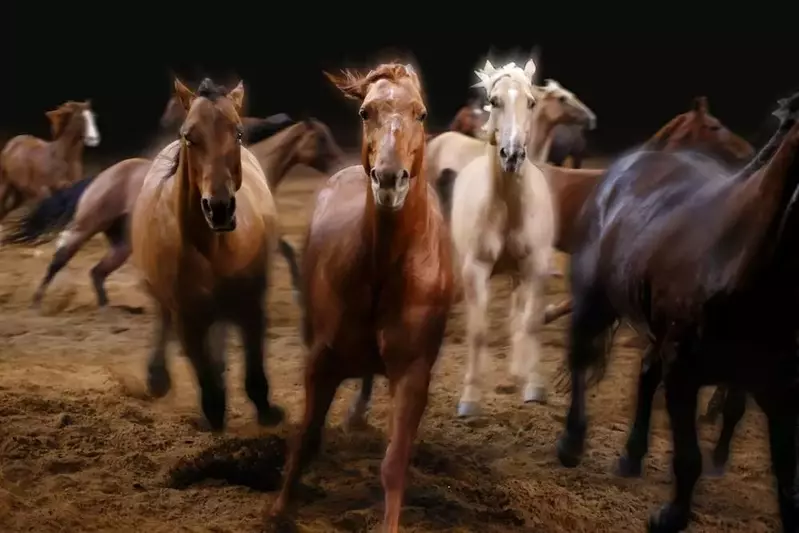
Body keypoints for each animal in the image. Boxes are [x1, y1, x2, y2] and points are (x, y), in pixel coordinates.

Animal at [130, 77, 285, 431]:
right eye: (189, 136)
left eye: (238, 133)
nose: (219, 208)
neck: (214, 249)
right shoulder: (187, 317)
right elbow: (205, 378)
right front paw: (213, 412)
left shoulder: (251, 306)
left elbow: (255, 367)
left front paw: (266, 410)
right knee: (164, 318)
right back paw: (158, 377)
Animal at [268, 63, 453, 533]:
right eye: (366, 111)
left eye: (421, 113)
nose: (389, 180)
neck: (383, 269)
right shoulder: (321, 361)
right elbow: (306, 437)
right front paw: (278, 510)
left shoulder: (413, 373)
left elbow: (394, 462)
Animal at [446, 58, 557, 415]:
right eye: (494, 101)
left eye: (532, 102)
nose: (512, 155)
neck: (507, 206)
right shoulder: (475, 270)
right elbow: (478, 331)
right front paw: (469, 399)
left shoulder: (535, 267)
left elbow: (531, 322)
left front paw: (533, 386)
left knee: (518, 317)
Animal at [555, 92, 799, 532]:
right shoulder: (683, 372)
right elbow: (689, 458)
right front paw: (670, 515)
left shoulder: (780, 389)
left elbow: (787, 481)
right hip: (593, 299)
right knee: (581, 357)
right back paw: (571, 442)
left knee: (645, 373)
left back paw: (632, 455)